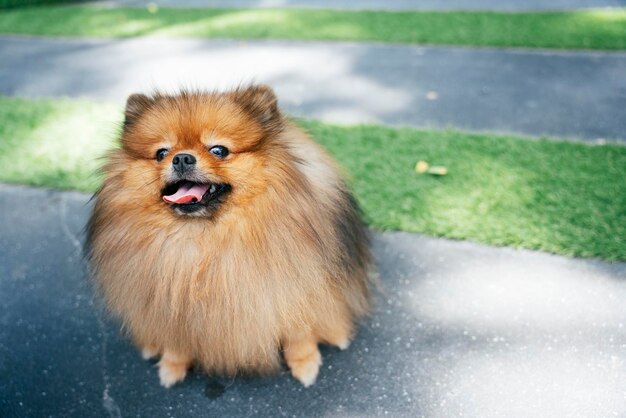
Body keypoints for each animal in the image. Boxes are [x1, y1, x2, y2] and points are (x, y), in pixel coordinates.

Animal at [87, 85, 370, 388]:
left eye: (219, 150)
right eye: (162, 153)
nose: (182, 157)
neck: (207, 237)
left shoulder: (295, 285)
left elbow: (299, 329)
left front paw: (304, 363)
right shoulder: (169, 303)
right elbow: (176, 338)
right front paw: (173, 365)